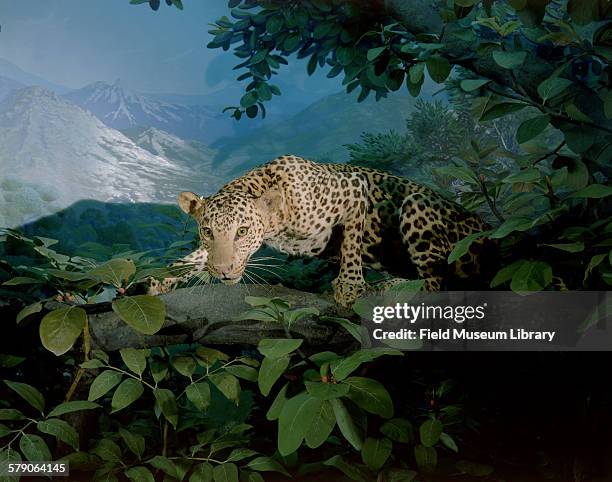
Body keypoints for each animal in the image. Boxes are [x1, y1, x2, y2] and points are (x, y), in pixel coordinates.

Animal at [149, 155, 492, 308]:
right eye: (208, 232)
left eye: (242, 231)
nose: (223, 270)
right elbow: (194, 258)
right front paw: (159, 281)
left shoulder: (354, 189)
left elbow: (351, 244)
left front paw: (350, 287)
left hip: (416, 204)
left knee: (436, 286)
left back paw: (390, 286)